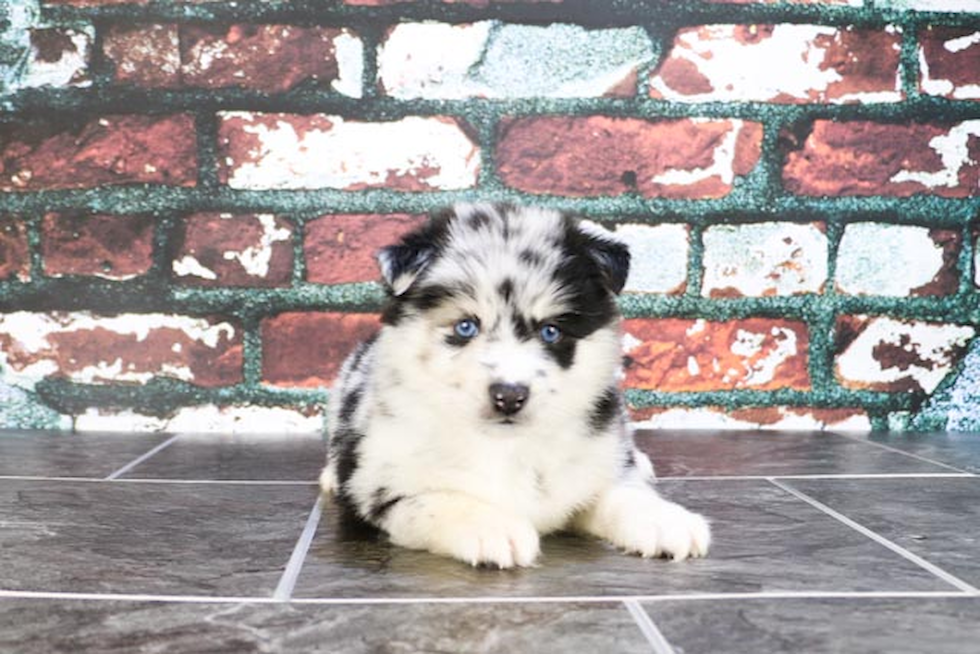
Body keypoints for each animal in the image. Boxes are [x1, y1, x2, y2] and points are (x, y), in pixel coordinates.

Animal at [322, 205, 712, 568]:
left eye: (550, 331)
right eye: (466, 326)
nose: (509, 396)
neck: (507, 446)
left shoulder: (592, 465)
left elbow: (620, 492)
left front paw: (664, 521)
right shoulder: (379, 484)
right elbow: (435, 498)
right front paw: (491, 527)